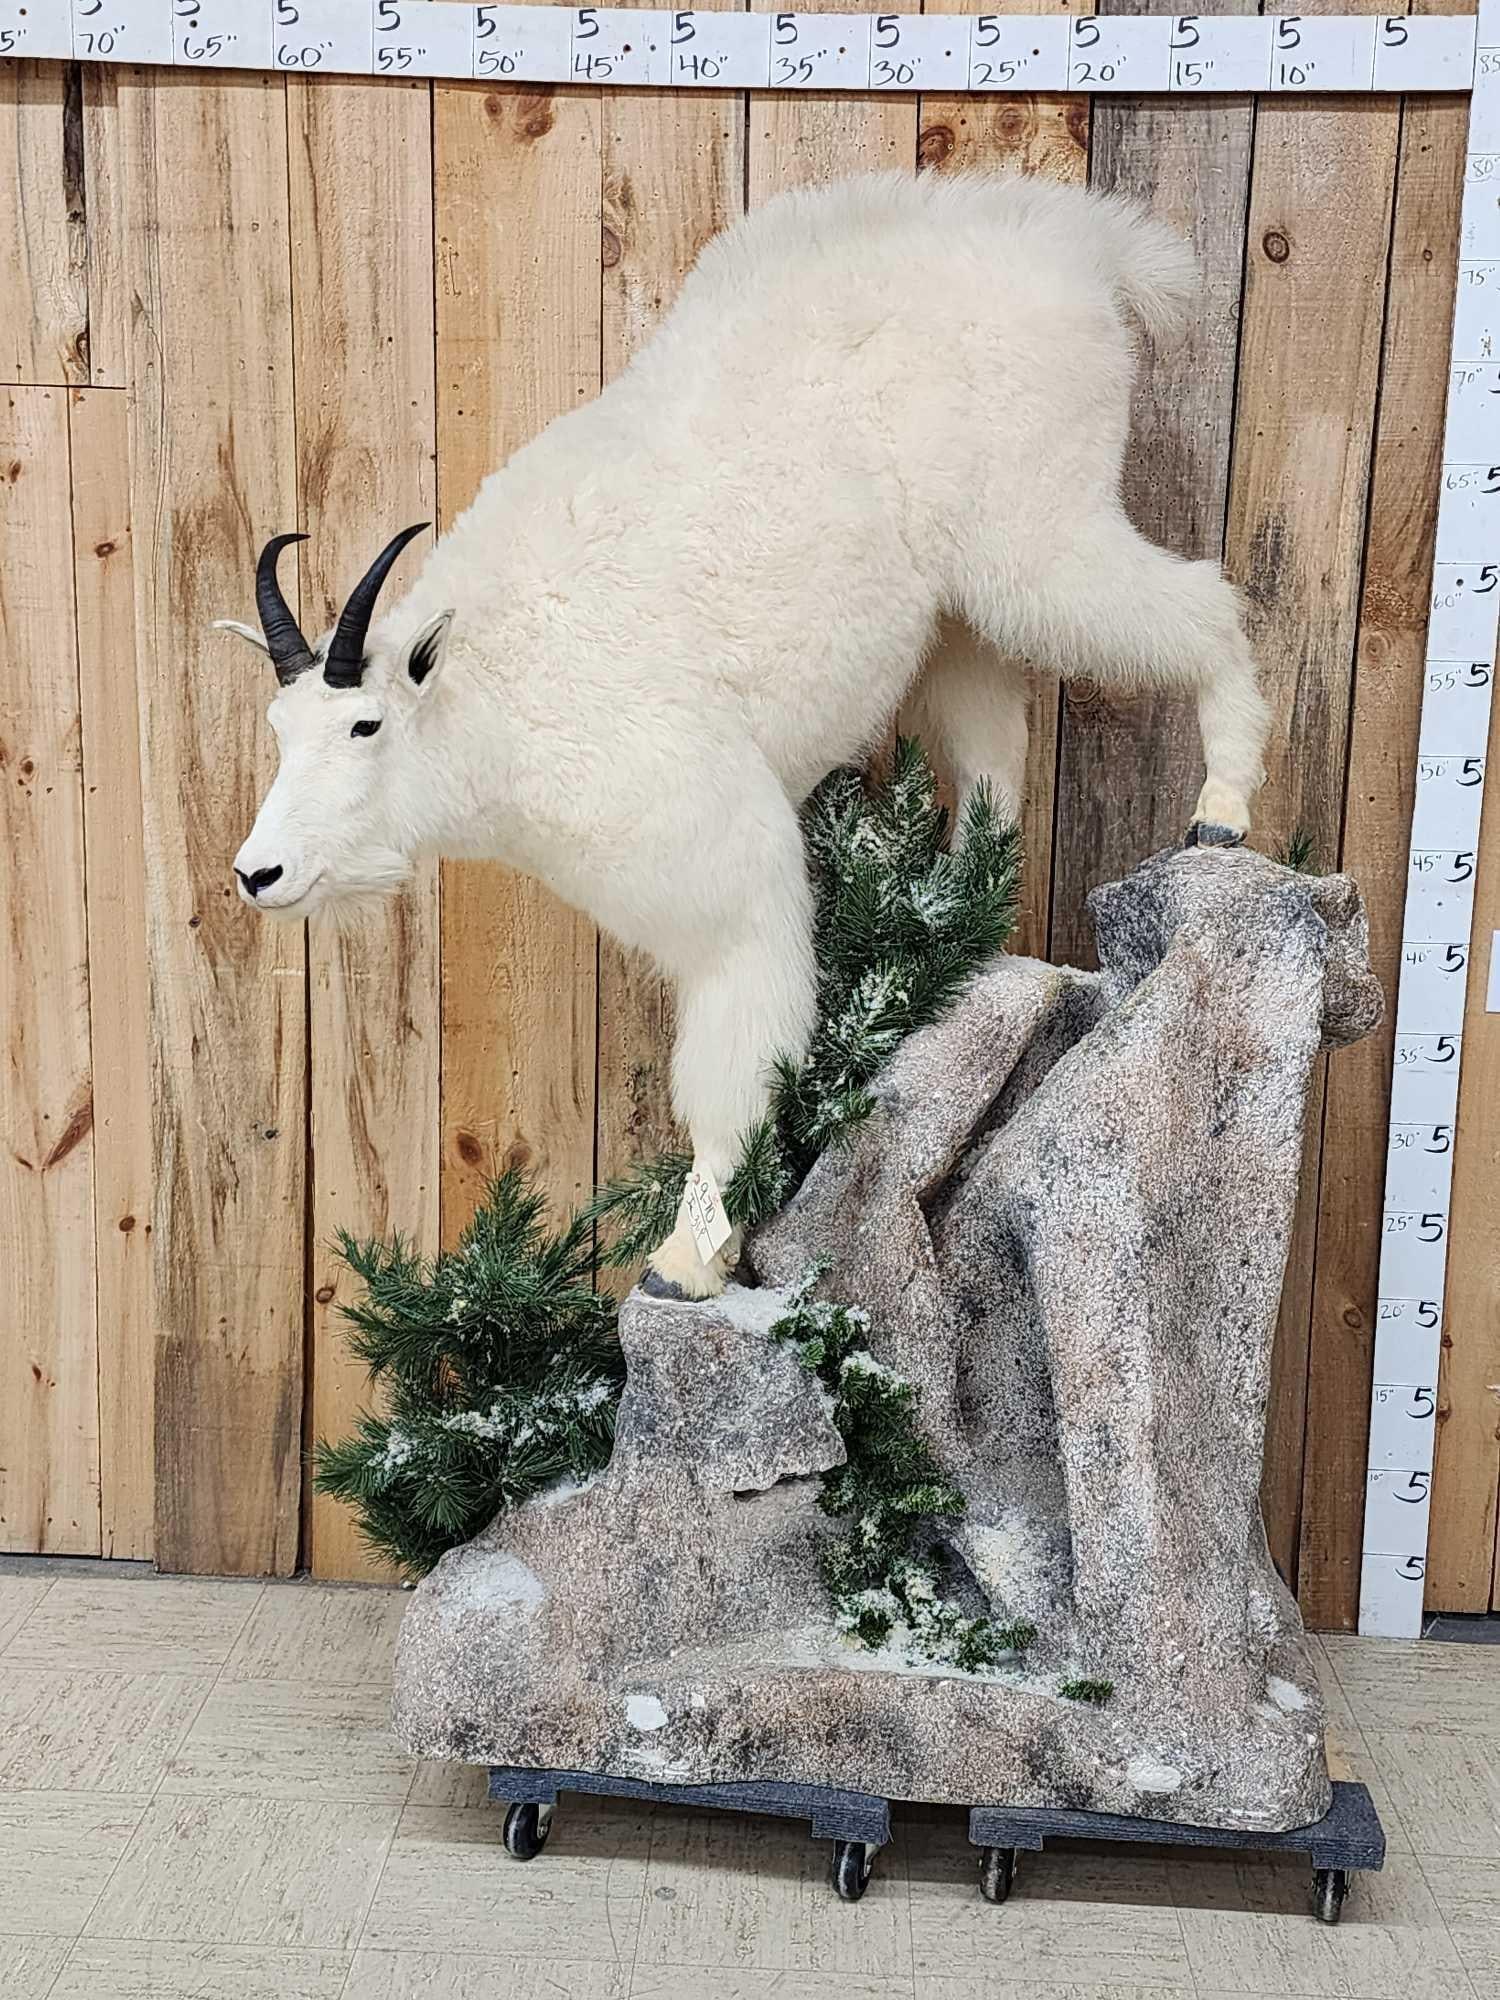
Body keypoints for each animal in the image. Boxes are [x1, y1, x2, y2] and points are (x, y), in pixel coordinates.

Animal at [227, 171, 1270, 1299]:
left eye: (365, 724)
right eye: (279, 727)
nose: (258, 872)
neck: (497, 687)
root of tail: (1088, 250)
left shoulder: (727, 870)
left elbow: (730, 1069)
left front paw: (688, 1262)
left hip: (1043, 537)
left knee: (1202, 606)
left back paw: (1221, 811)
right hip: (962, 608)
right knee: (994, 744)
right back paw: (953, 911)